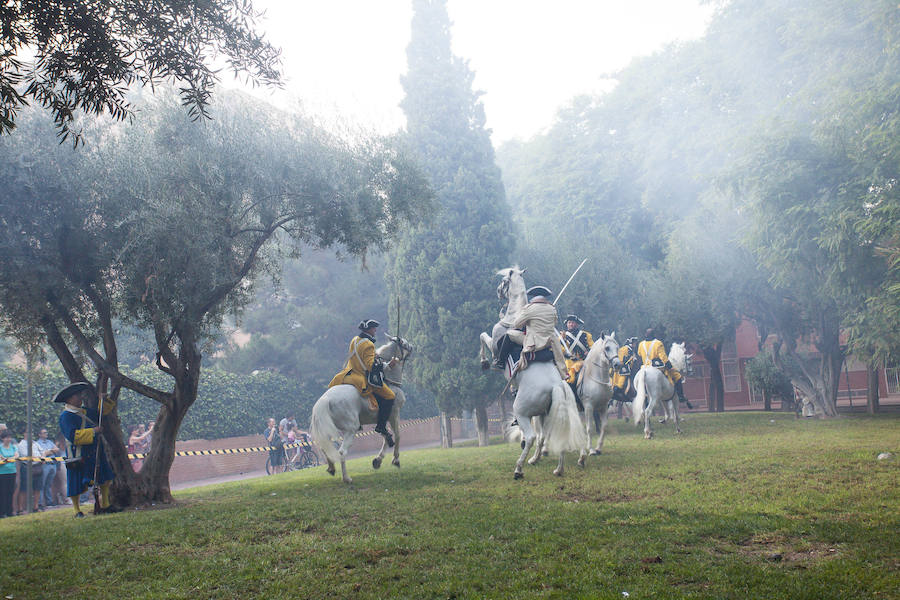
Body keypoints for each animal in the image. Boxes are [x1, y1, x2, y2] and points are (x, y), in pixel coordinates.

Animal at [308, 336, 410, 486]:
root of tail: (325, 399)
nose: (412, 347)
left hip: (330, 429)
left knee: (324, 447)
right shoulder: (393, 415)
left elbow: (385, 436)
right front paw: (395, 459)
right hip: (351, 429)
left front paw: (377, 460)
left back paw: (331, 468)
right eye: (405, 344)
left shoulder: (379, 421)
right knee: (342, 452)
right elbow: (397, 435)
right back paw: (347, 478)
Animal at [576, 332, 620, 464]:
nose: (617, 364)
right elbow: (589, 428)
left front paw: (598, 448)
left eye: (617, 347)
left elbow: (603, 427)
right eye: (607, 348)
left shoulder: (603, 407)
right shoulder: (588, 407)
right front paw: (591, 450)